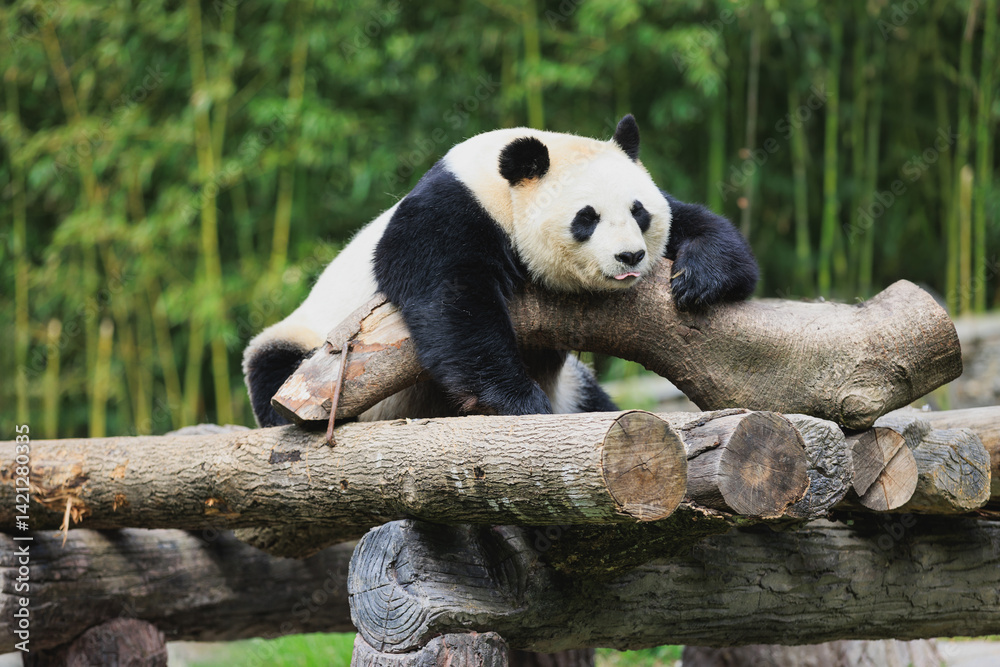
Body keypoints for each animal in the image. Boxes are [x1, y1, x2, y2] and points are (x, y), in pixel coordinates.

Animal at [244, 115, 757, 427]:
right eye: (586, 217)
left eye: (639, 212)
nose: (630, 257)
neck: (499, 184)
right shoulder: (448, 214)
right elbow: (452, 301)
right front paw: (521, 403)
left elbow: (694, 219)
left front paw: (702, 277)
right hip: (308, 342)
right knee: (275, 370)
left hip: (575, 386)